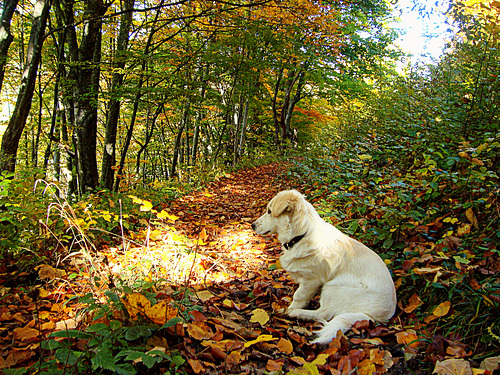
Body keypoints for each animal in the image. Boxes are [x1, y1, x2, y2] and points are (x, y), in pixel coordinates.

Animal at [252, 191, 396, 344]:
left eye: (269, 211)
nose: (252, 225)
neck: (302, 236)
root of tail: (374, 317)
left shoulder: (312, 281)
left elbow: (298, 296)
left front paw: (291, 308)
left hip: (333, 285)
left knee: (323, 313)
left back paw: (295, 313)